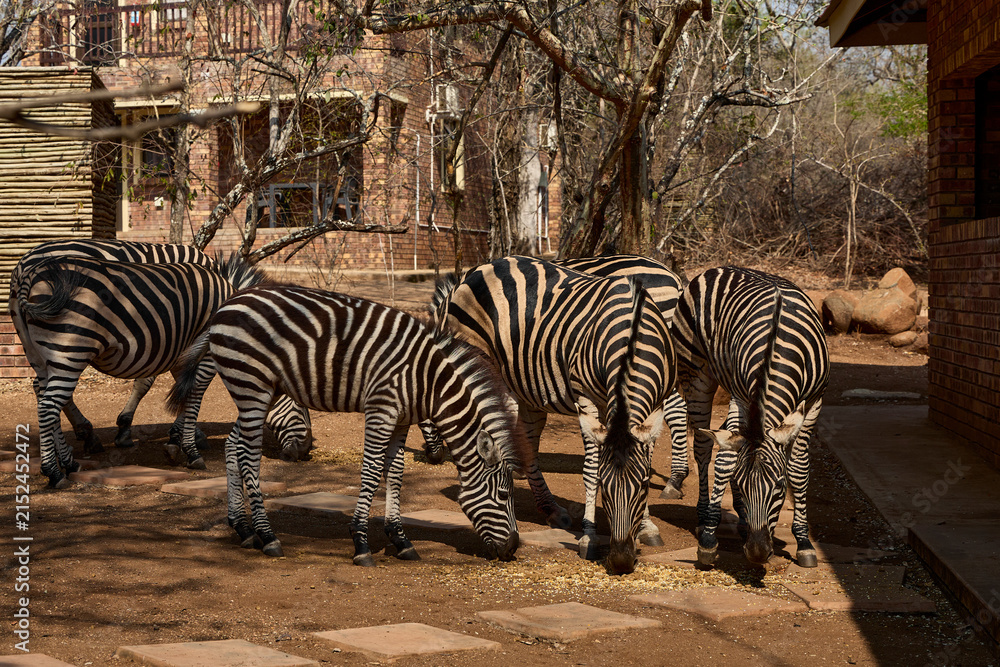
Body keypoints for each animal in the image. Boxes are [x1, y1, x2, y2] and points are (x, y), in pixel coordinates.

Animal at [8, 239, 311, 461]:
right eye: (299, 402)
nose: (306, 450)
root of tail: (24, 263)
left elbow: (180, 383)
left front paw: (186, 433)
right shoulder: (172, 336)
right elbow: (162, 383)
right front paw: (140, 430)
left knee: (40, 386)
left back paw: (82, 438)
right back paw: (85, 435)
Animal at [166, 285, 526, 566]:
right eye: (504, 494)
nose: (512, 549)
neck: (428, 380)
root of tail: (226, 304)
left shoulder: (401, 420)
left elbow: (396, 472)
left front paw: (400, 539)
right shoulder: (381, 409)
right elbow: (371, 471)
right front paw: (361, 542)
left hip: (262, 390)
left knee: (233, 445)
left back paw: (242, 527)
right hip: (250, 384)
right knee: (248, 455)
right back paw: (267, 536)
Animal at [429, 256, 675, 575]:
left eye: (644, 487)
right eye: (604, 489)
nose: (621, 561)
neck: (631, 336)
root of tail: (477, 269)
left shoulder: (655, 402)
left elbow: (645, 459)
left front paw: (646, 526)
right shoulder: (586, 397)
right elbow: (590, 469)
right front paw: (589, 537)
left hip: (525, 383)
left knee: (527, 437)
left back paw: (550, 508)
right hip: (483, 361)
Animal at [674, 266, 828, 568]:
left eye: (780, 486)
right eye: (741, 486)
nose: (757, 553)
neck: (778, 347)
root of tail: (718, 268)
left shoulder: (815, 401)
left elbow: (798, 467)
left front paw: (804, 542)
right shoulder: (742, 396)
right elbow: (725, 462)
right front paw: (708, 540)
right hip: (695, 375)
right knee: (704, 447)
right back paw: (704, 516)